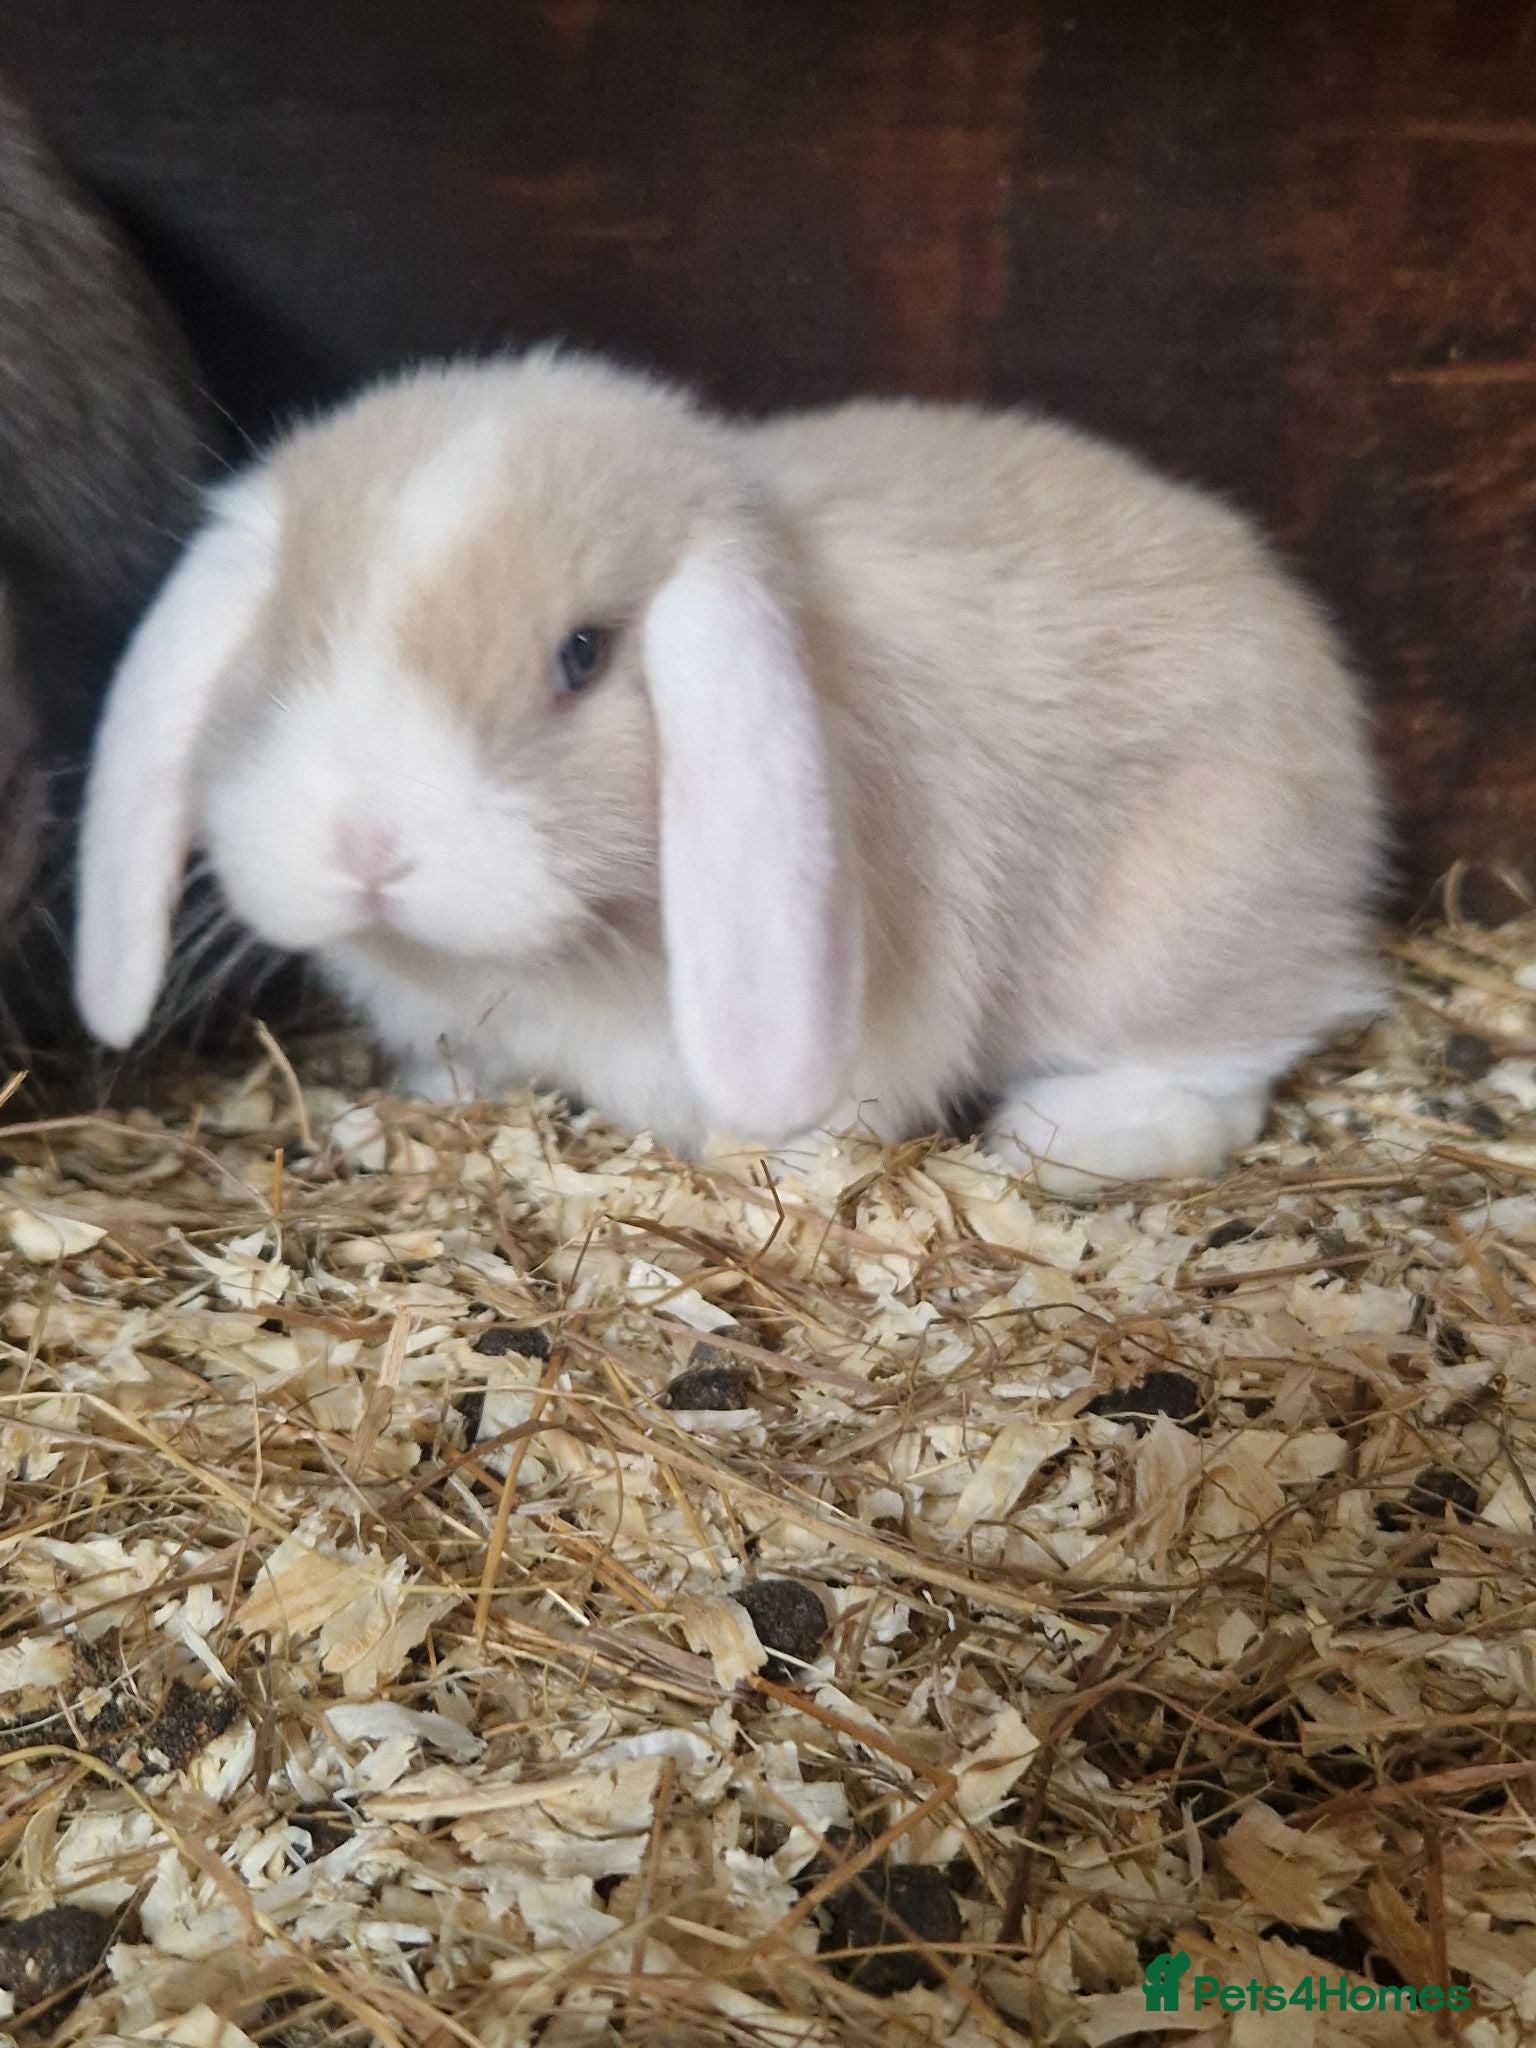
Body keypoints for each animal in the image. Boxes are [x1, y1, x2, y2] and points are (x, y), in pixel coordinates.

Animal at [74, 347, 1385, 1192]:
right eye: (286, 636)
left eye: (583, 655)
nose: (363, 844)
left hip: (1182, 920)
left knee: (1232, 1064)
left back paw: (1066, 1138)